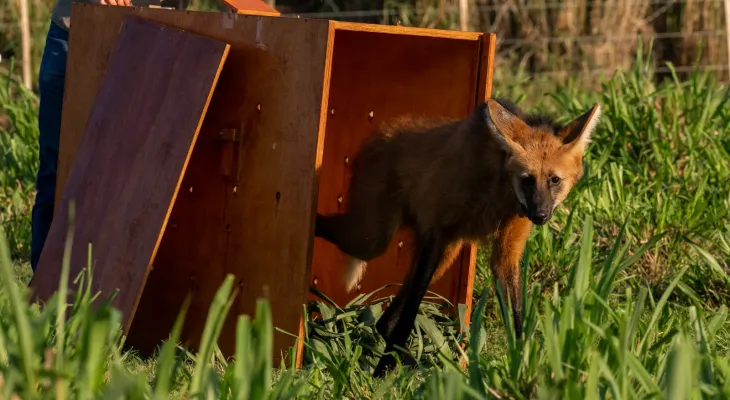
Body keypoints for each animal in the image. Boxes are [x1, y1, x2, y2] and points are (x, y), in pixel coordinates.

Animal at [315, 97, 601, 377]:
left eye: (554, 180)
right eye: (528, 179)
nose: (540, 215)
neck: (497, 191)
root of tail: (379, 132)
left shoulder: (505, 252)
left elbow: (515, 317)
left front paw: (520, 366)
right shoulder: (436, 235)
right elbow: (408, 319)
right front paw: (381, 375)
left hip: (445, 254)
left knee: (385, 321)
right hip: (373, 239)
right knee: (333, 231)